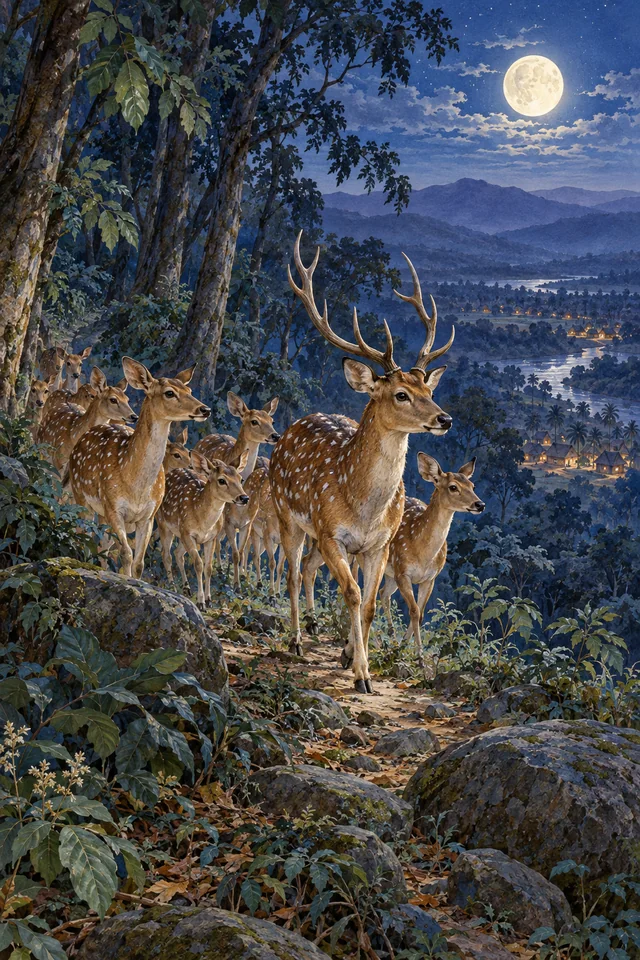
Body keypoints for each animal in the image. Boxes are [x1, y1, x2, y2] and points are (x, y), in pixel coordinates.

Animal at [68, 357, 210, 580]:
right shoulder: (113, 507)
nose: (205, 410)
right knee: (85, 536)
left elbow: (138, 563)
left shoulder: (149, 515)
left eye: (189, 390)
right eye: (169, 392)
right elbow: (126, 554)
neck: (136, 486)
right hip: (81, 496)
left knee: (102, 543)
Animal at [156, 449, 249, 609]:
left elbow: (208, 567)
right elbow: (198, 564)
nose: (244, 498)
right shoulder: (188, 533)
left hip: (181, 534)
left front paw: (209, 600)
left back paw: (186, 588)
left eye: (241, 479)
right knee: (166, 555)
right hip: (163, 523)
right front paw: (200, 602)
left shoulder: (210, 537)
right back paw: (173, 586)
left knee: (177, 553)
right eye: (222, 480)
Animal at [270, 233, 454, 693]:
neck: (364, 505)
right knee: (293, 573)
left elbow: (368, 604)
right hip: (287, 515)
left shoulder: (380, 546)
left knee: (309, 573)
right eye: (400, 394)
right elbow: (352, 594)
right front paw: (363, 675)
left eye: (428, 387)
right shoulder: (331, 533)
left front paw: (354, 659)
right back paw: (296, 639)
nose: (444, 419)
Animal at [379, 454, 485, 668]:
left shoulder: (429, 578)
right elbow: (413, 611)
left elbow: (419, 614)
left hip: (390, 574)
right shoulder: (403, 572)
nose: (480, 505)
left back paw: (392, 640)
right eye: (453, 487)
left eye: (472, 485)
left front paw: (408, 651)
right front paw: (419, 658)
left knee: (382, 594)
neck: (422, 554)